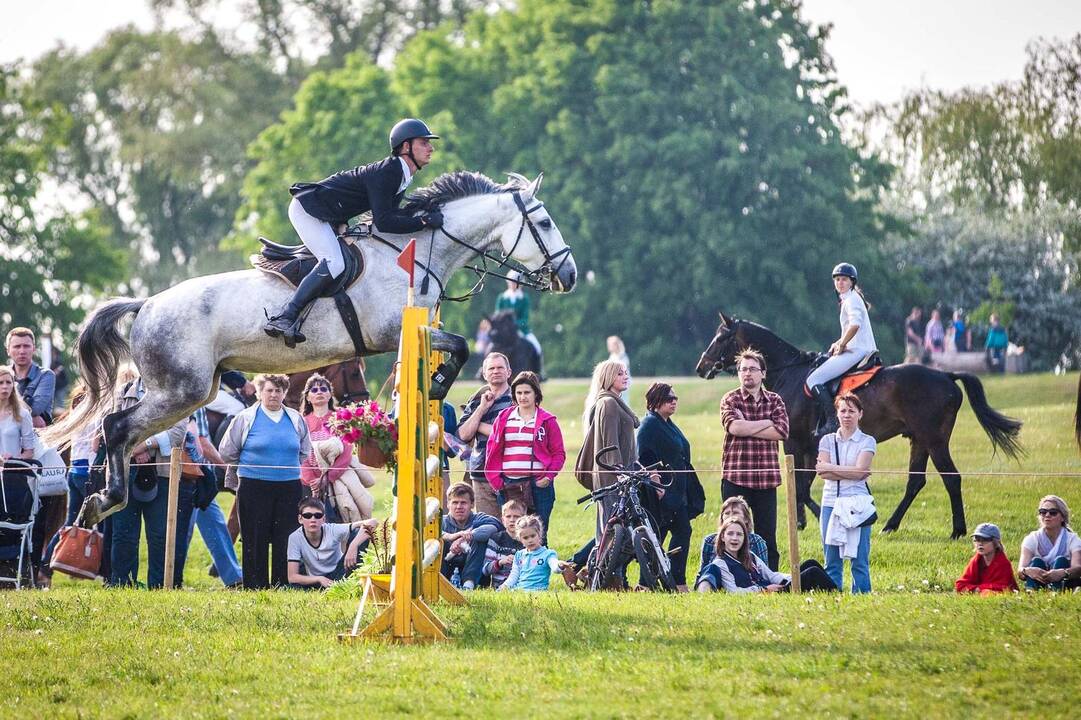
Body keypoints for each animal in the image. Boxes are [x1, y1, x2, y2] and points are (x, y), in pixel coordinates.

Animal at [46, 170, 579, 525]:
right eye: (545, 223)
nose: (570, 276)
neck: (417, 249)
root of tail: (147, 305)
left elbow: (459, 348)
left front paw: (429, 389)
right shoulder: (393, 331)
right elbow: (462, 347)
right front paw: (439, 383)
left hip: (189, 392)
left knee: (123, 430)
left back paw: (99, 502)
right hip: (181, 390)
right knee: (116, 427)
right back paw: (102, 501)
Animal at [691, 311, 1020, 536]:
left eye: (720, 337)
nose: (700, 367)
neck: (789, 372)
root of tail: (946, 376)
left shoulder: (796, 442)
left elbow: (802, 487)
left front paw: (815, 520)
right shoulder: (810, 446)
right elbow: (803, 485)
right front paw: (806, 521)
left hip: (934, 439)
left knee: (951, 478)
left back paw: (957, 530)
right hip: (919, 439)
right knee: (915, 482)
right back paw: (890, 525)